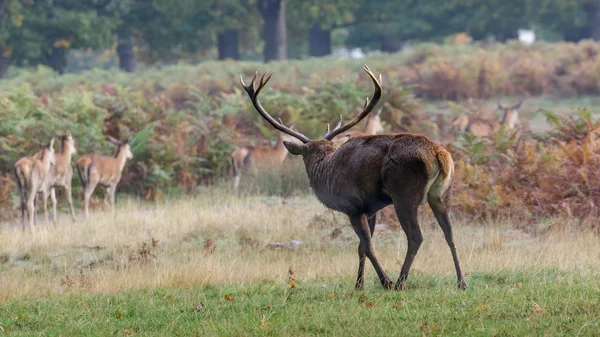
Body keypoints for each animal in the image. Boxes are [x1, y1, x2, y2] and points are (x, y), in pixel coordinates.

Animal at [241, 65, 466, 288]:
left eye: (305, 155)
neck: (326, 170)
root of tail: (439, 154)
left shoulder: (353, 206)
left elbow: (366, 245)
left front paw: (384, 281)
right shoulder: (371, 209)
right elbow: (361, 246)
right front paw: (359, 284)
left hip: (404, 193)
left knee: (416, 236)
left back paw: (399, 282)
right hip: (441, 194)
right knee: (450, 233)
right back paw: (461, 282)